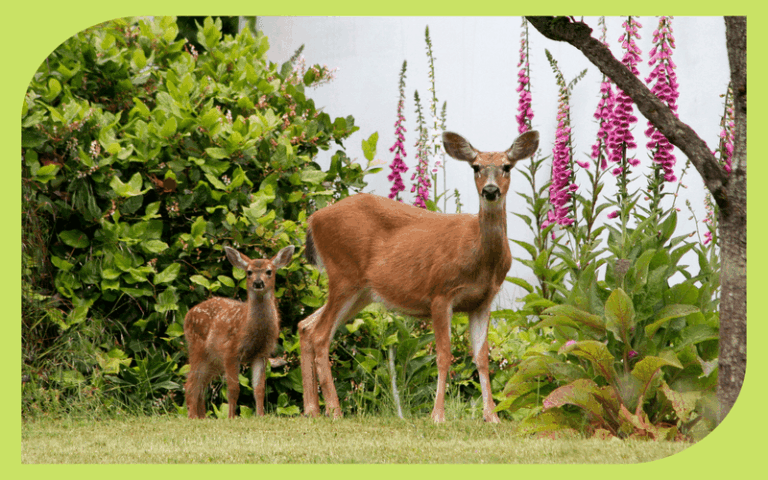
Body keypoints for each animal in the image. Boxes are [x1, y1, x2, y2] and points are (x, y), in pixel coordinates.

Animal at [183, 245, 295, 419]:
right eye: (249, 272)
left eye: (269, 271)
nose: (258, 282)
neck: (253, 332)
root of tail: (188, 315)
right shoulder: (231, 351)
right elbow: (233, 389)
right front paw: (231, 417)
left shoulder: (262, 354)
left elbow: (259, 389)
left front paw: (260, 415)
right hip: (197, 347)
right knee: (190, 384)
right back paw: (193, 417)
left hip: (213, 359)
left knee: (201, 386)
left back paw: (202, 417)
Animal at [297, 130, 539, 423]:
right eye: (476, 167)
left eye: (507, 166)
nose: (490, 191)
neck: (479, 257)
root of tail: (313, 220)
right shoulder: (440, 292)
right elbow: (444, 355)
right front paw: (437, 416)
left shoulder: (483, 301)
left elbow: (482, 357)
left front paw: (492, 417)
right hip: (343, 273)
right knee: (320, 334)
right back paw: (334, 410)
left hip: (362, 291)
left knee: (306, 325)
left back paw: (311, 409)